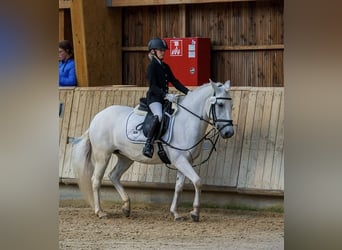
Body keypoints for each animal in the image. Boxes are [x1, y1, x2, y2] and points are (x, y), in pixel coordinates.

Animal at [71, 79, 234, 222]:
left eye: (231, 106)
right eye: (220, 104)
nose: (229, 133)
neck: (186, 122)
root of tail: (97, 117)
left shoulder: (184, 161)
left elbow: (179, 187)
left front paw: (176, 213)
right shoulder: (180, 160)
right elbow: (198, 182)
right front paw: (195, 213)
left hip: (126, 157)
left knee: (114, 175)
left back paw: (126, 207)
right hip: (102, 155)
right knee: (96, 180)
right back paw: (100, 212)